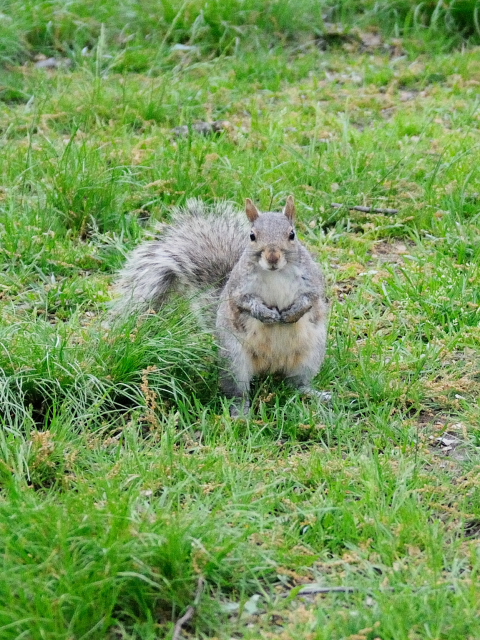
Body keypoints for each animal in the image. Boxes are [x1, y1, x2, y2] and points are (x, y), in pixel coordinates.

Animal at [114, 195, 330, 416]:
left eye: (292, 234)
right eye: (252, 236)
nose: (272, 257)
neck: (276, 273)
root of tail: (272, 365)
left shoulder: (313, 280)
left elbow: (311, 298)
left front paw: (292, 313)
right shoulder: (238, 288)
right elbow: (243, 302)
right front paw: (266, 314)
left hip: (310, 355)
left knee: (296, 384)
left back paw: (314, 394)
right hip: (234, 360)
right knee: (238, 391)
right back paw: (240, 411)